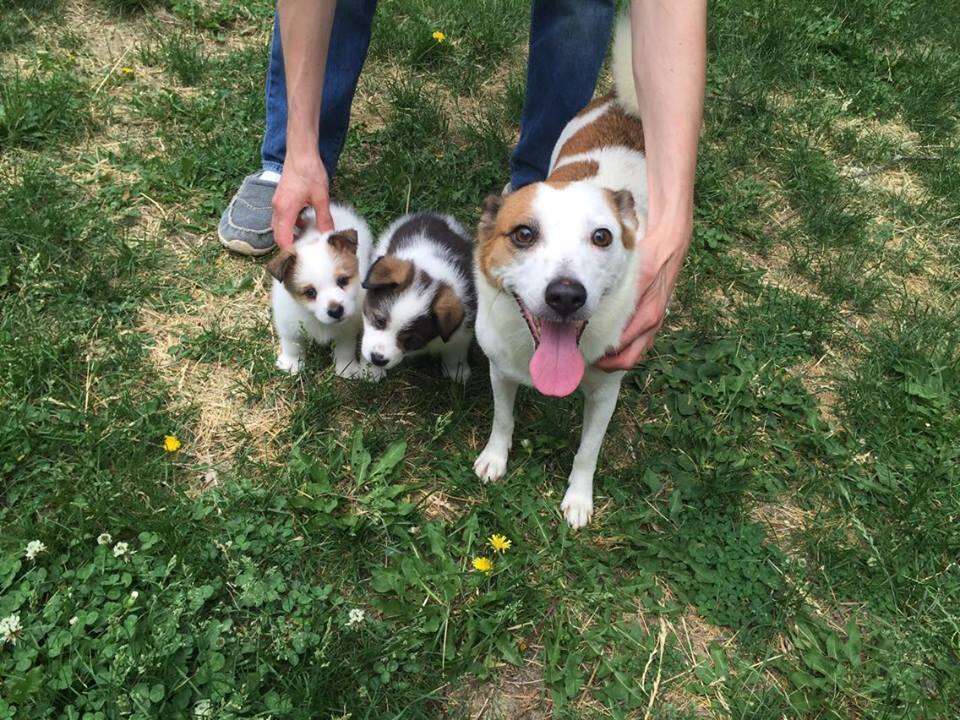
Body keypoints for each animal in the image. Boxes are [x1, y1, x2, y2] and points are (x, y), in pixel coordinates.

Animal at [268, 202, 380, 380]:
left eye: (343, 281)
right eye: (310, 292)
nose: (336, 311)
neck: (317, 320)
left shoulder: (347, 331)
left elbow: (344, 350)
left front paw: (346, 369)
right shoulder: (288, 326)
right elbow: (293, 346)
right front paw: (291, 364)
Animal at [360, 212, 476, 386]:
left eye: (412, 340)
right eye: (379, 321)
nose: (377, 359)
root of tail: (434, 215)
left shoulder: (462, 329)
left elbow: (456, 351)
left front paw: (458, 371)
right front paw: (371, 371)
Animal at [470, 14, 648, 524]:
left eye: (602, 236)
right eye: (523, 234)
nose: (566, 295)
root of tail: (625, 105)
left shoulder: (606, 393)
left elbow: (588, 452)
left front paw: (579, 498)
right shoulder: (500, 370)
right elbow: (502, 419)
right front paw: (495, 458)